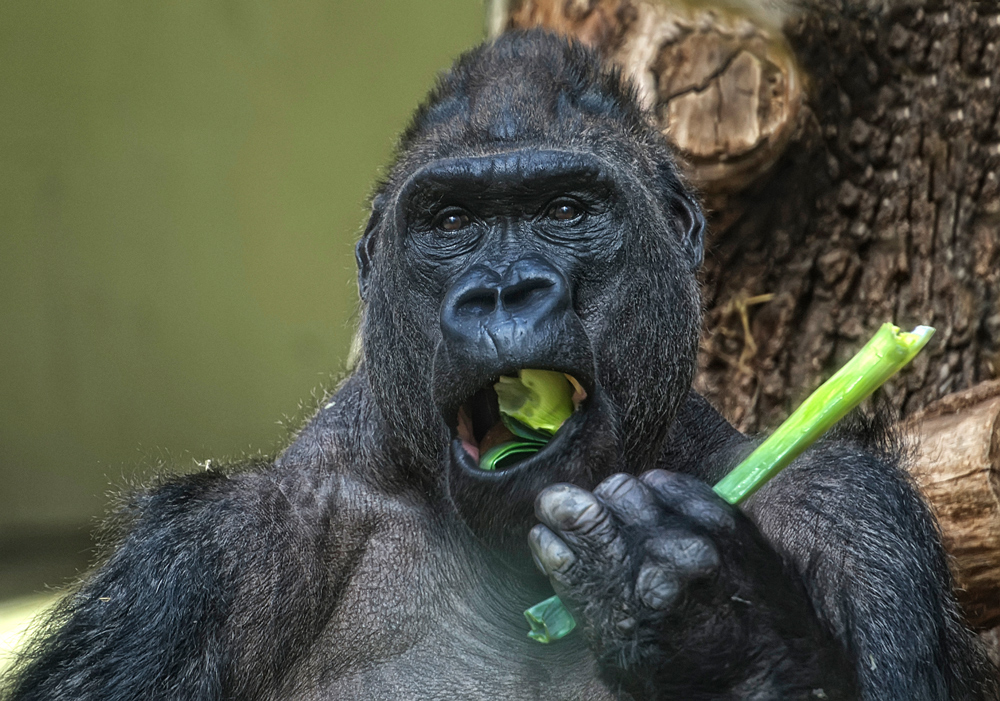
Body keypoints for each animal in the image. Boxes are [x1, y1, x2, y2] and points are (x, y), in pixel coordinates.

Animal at [3, 30, 996, 696]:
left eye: (565, 209)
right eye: (451, 222)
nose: (505, 292)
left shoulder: (855, 518)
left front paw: (718, 625)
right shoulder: (197, 566)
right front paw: (704, 616)